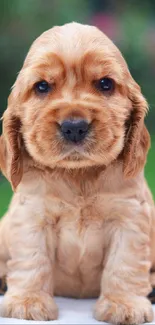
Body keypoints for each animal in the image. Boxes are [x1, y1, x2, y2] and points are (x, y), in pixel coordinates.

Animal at [0, 21, 155, 322]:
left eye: (105, 84)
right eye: (42, 86)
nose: (74, 127)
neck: (78, 174)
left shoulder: (129, 217)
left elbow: (124, 264)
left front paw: (123, 305)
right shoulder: (32, 216)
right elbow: (32, 260)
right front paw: (28, 302)